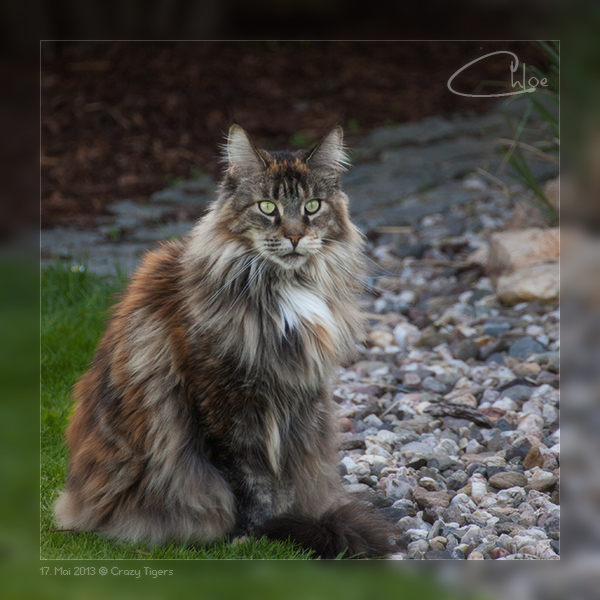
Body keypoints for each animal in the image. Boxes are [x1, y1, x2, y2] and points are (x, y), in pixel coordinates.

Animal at [54, 125, 393, 559]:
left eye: (313, 206)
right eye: (267, 207)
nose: (295, 236)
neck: (284, 287)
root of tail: (77, 499)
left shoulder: (299, 398)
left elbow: (286, 476)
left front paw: (289, 524)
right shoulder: (226, 406)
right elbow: (250, 483)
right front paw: (254, 535)